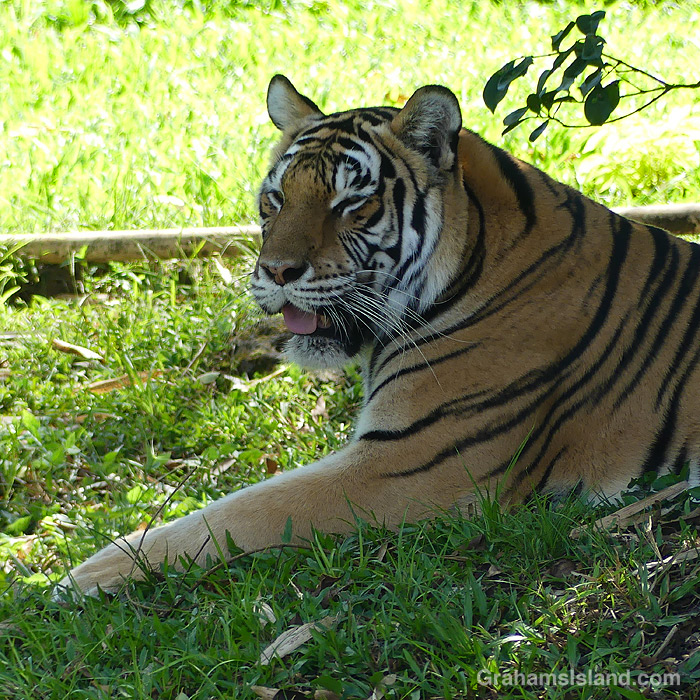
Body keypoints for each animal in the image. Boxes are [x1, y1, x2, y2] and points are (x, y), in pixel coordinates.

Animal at [59, 74, 700, 595]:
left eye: (351, 203)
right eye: (275, 199)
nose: (276, 271)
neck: (476, 260)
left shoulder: (407, 467)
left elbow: (246, 509)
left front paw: (88, 573)